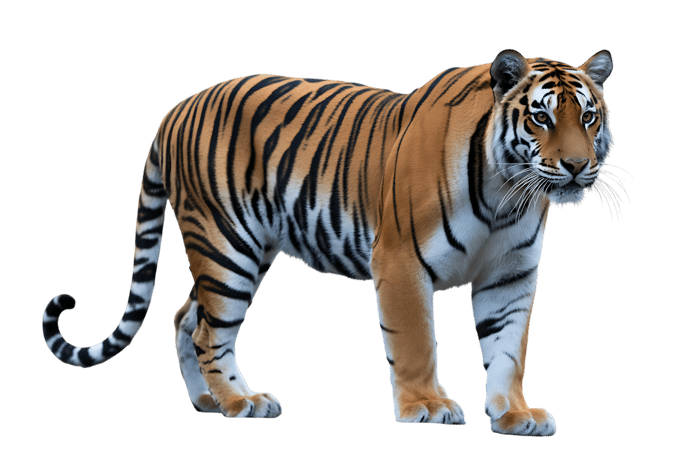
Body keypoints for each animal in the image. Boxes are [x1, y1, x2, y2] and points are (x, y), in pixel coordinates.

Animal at [41, 49, 628, 436]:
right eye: (541, 116)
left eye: (588, 116)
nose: (577, 166)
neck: (507, 193)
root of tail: (176, 108)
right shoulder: (400, 260)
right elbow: (416, 342)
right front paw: (426, 407)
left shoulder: (509, 275)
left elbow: (508, 350)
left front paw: (514, 414)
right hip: (225, 244)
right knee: (211, 330)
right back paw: (239, 401)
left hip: (240, 249)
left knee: (187, 317)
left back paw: (208, 399)